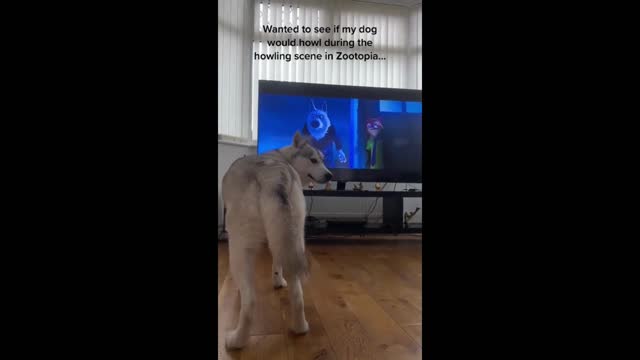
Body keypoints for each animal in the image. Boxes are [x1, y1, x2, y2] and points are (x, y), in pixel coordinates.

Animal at [221, 132, 332, 348]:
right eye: (314, 160)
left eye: (323, 160)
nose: (330, 175)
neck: (282, 157)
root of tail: (272, 172)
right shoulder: (280, 238)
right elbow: (276, 264)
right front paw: (278, 281)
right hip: (295, 236)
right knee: (297, 296)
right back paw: (300, 328)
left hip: (239, 245)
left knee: (250, 302)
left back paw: (236, 340)